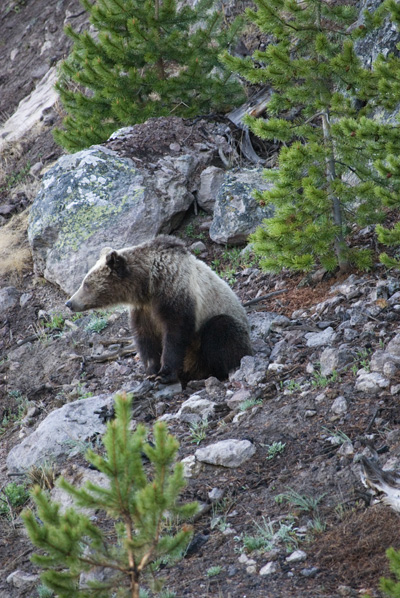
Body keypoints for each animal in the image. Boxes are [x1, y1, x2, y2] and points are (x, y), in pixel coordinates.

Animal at [67, 236, 252, 384]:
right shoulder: (143, 310)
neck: (148, 286)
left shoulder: (177, 295)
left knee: (222, 330)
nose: (69, 303)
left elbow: (175, 334)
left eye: (86, 284)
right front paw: (151, 371)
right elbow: (146, 339)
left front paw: (164, 374)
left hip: (224, 326)